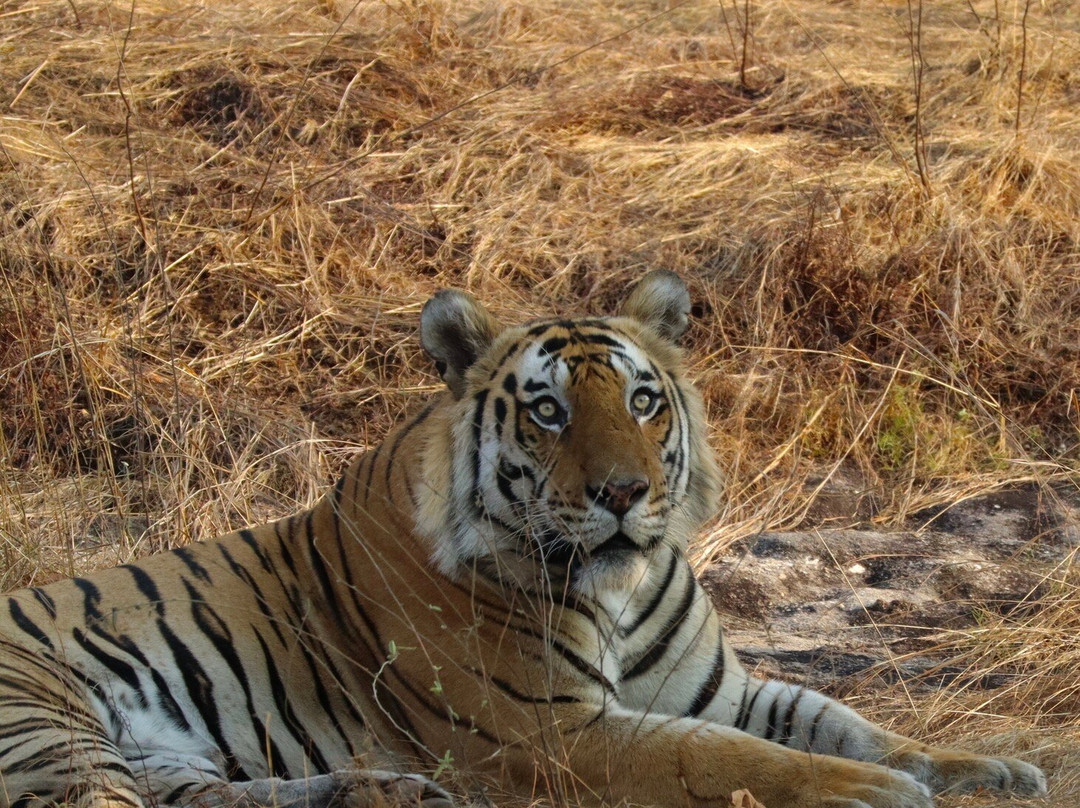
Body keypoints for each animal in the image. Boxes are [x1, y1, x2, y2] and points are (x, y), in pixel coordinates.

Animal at [0, 270, 1047, 808]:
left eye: (641, 401)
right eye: (547, 411)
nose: (623, 493)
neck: (621, 591)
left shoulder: (718, 690)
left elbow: (845, 720)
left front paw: (982, 770)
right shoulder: (559, 732)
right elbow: (728, 759)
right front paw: (870, 794)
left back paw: (383, 793)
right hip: (51, 725)